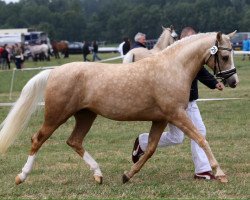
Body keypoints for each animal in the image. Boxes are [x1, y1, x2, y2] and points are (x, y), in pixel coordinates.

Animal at [0, 30, 238, 185]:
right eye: (225, 55)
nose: (233, 81)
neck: (172, 68)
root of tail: (55, 71)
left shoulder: (161, 119)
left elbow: (150, 149)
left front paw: (127, 175)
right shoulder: (176, 115)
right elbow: (201, 139)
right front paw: (220, 173)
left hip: (86, 116)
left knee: (74, 141)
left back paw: (98, 174)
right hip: (56, 115)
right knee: (37, 139)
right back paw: (21, 176)